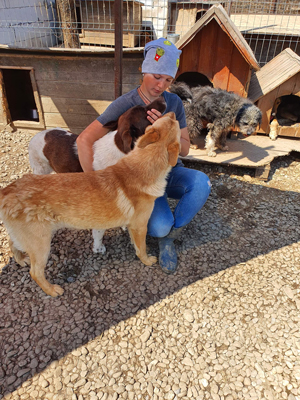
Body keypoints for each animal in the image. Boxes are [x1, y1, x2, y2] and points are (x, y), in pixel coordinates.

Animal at [28, 98, 166, 253]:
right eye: (145, 111)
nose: (163, 97)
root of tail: (38, 134)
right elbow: (99, 231)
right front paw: (98, 248)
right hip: (40, 169)